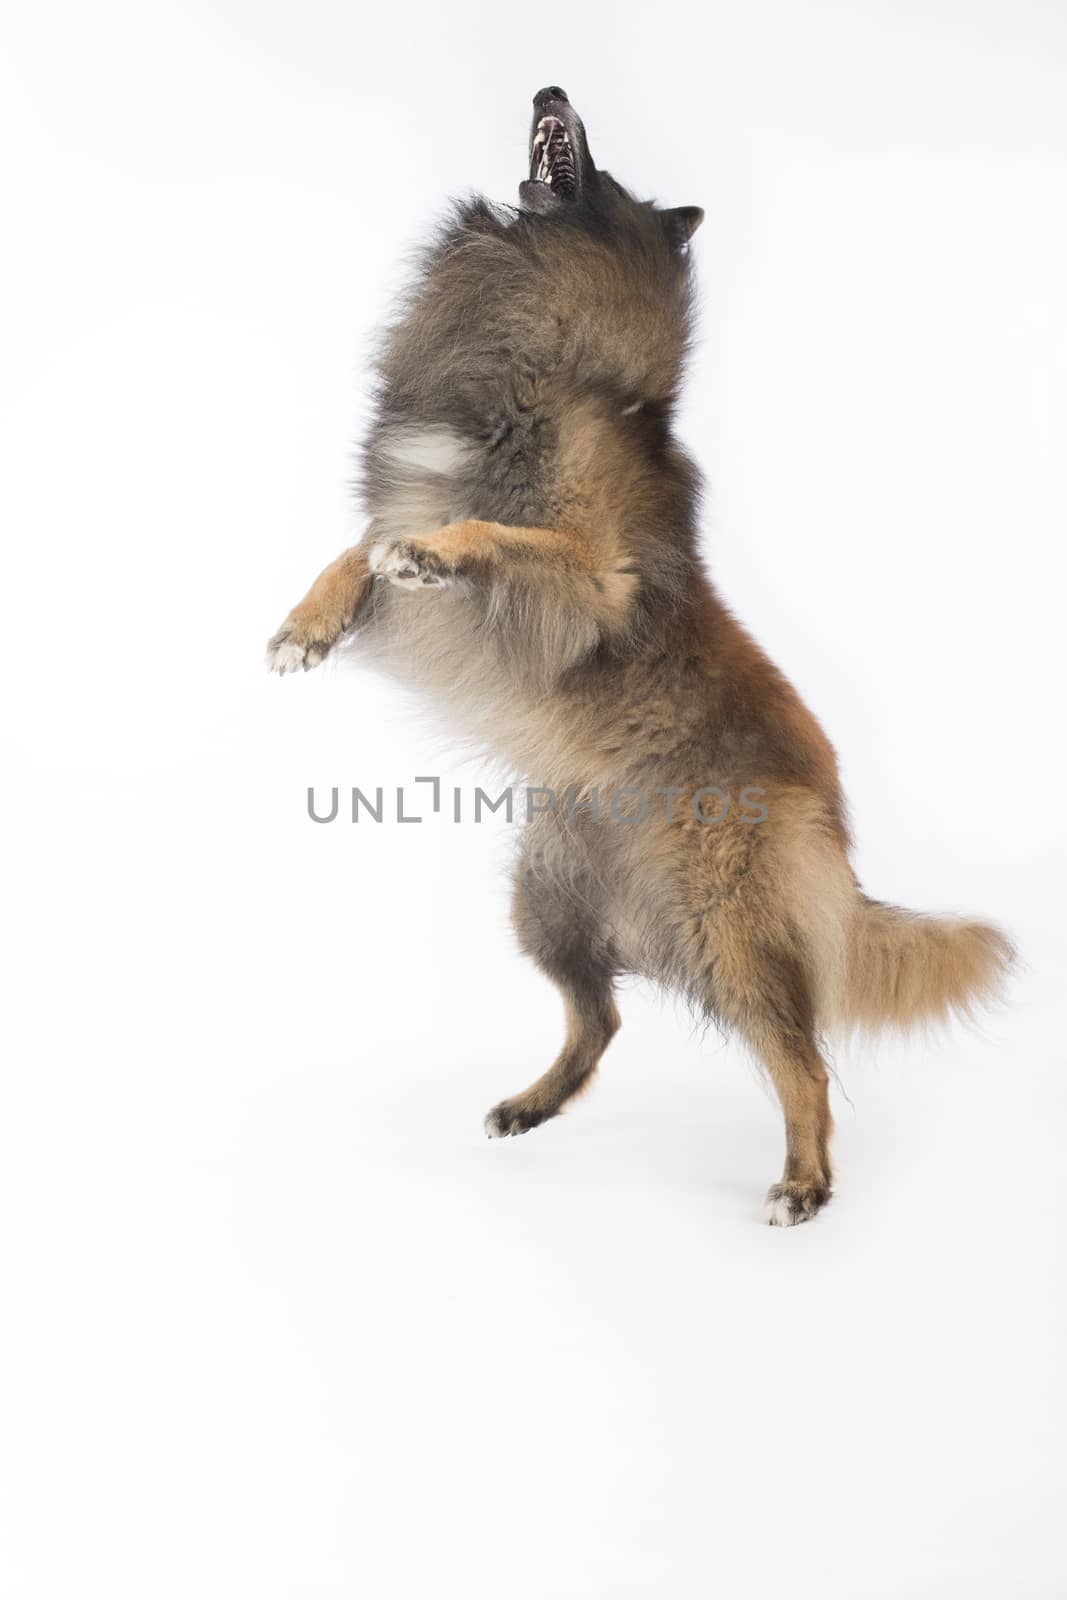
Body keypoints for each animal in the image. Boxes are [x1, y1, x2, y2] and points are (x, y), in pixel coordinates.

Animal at [265, 84, 1011, 1222]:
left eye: (602, 166)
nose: (550, 90)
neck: (551, 351)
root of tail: (837, 837)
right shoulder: (421, 516)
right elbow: (357, 548)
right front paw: (307, 626)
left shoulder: (586, 583)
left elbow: (485, 536)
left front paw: (432, 558)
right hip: (549, 900)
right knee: (602, 1015)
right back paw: (532, 1105)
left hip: (726, 929)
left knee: (801, 1058)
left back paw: (802, 1183)